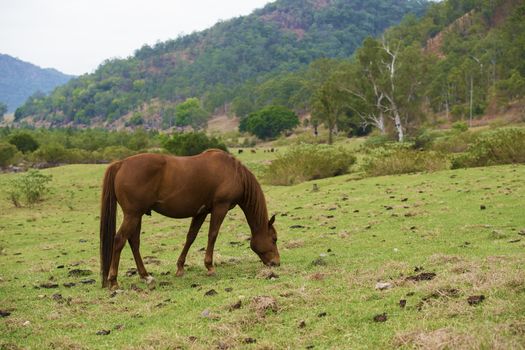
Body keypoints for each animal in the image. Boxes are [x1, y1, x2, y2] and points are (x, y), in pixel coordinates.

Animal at [98, 150, 278, 290]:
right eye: (274, 239)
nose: (276, 262)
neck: (233, 172)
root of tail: (121, 164)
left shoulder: (201, 212)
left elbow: (191, 237)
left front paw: (180, 268)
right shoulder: (220, 207)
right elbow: (212, 235)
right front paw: (210, 266)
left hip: (137, 215)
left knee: (134, 242)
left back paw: (145, 276)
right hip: (133, 215)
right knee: (119, 240)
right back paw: (113, 281)